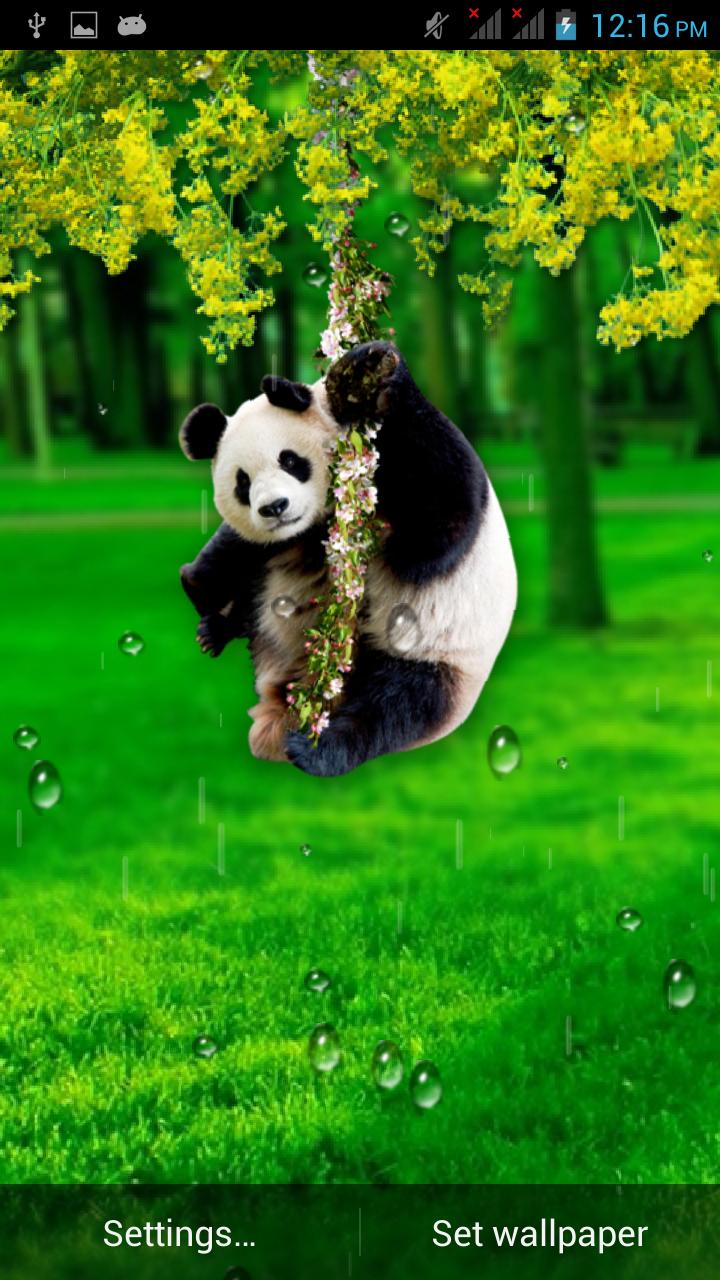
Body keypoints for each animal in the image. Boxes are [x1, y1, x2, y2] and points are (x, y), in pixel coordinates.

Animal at [178, 341, 517, 777]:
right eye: (242, 482)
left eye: (290, 461)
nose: (274, 508)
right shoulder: (279, 539)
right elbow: (230, 555)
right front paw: (205, 591)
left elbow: (437, 528)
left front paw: (376, 370)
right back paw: (217, 626)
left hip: (435, 655)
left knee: (395, 707)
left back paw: (318, 750)